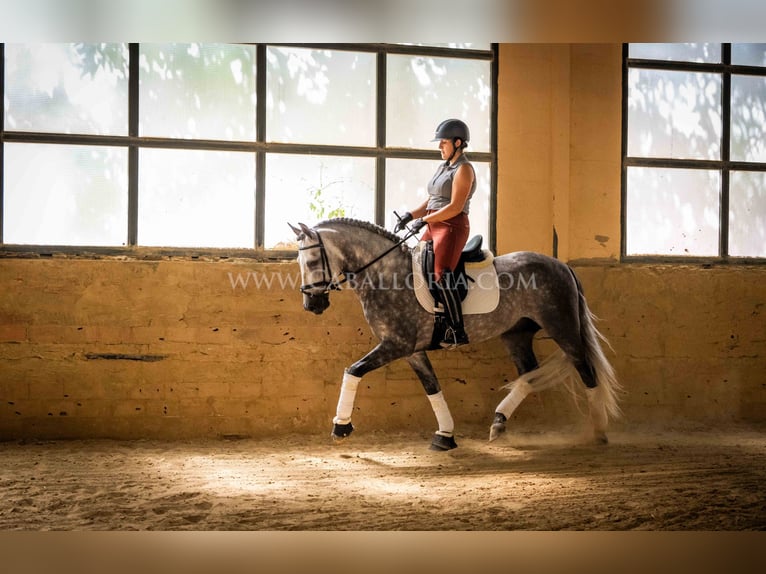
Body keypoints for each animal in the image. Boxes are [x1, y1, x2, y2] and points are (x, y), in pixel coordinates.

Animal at [290, 218, 624, 452]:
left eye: (312, 261)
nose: (311, 305)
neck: (386, 274)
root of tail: (562, 266)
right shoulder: (412, 350)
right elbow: (432, 387)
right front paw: (445, 435)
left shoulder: (396, 345)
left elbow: (353, 370)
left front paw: (341, 427)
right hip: (516, 333)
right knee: (529, 373)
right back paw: (499, 423)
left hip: (562, 327)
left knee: (586, 369)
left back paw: (598, 430)